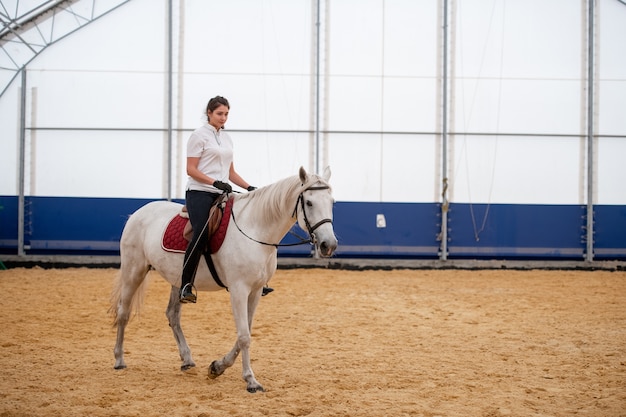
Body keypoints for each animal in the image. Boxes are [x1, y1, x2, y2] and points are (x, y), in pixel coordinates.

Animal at [111, 165, 336, 390]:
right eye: (309, 202)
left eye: (332, 202)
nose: (329, 245)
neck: (256, 231)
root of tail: (138, 213)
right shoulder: (239, 289)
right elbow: (244, 336)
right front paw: (250, 380)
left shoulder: (255, 291)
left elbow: (246, 331)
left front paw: (217, 367)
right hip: (134, 271)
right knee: (124, 312)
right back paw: (119, 360)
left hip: (177, 280)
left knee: (172, 315)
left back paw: (187, 359)